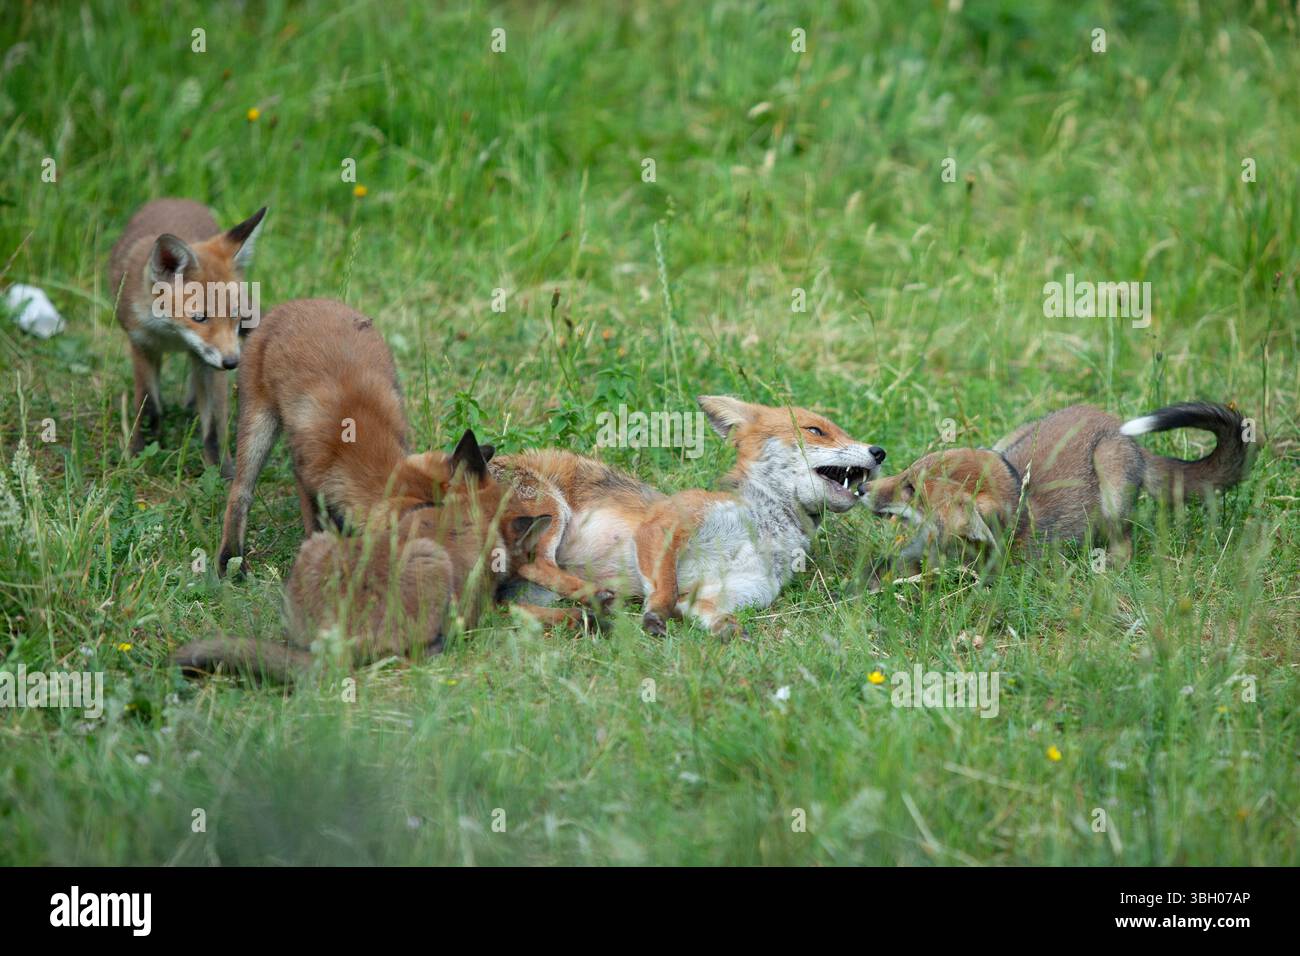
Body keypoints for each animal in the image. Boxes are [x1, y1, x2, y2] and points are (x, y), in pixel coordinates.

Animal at [108, 198, 267, 476]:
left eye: (234, 315)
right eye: (200, 317)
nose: (232, 363)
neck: (173, 336)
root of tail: (176, 200)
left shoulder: (210, 361)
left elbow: (215, 422)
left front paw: (221, 468)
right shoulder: (141, 344)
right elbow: (147, 404)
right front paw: (141, 450)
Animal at [491, 396, 886, 639]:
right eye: (816, 430)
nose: (879, 452)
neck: (763, 529)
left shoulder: (724, 594)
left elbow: (703, 610)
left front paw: (727, 630)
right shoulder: (667, 522)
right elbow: (664, 587)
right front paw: (653, 615)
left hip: (525, 592)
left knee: (505, 609)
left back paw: (585, 616)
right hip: (549, 509)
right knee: (533, 562)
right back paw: (595, 598)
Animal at [862, 402, 1252, 582]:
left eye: (912, 490)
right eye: (907, 473)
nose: (864, 487)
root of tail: (1114, 425)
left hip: (1111, 484)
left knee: (1124, 544)